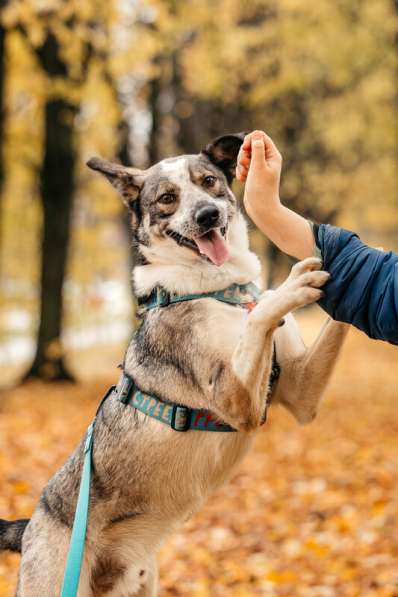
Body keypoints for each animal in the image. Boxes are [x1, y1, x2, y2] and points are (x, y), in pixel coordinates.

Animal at [0, 133, 348, 592]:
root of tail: (30, 526)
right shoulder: (237, 401)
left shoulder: (303, 393)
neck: (219, 289)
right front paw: (290, 285)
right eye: (167, 198)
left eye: (209, 182)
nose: (207, 214)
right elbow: (262, 314)